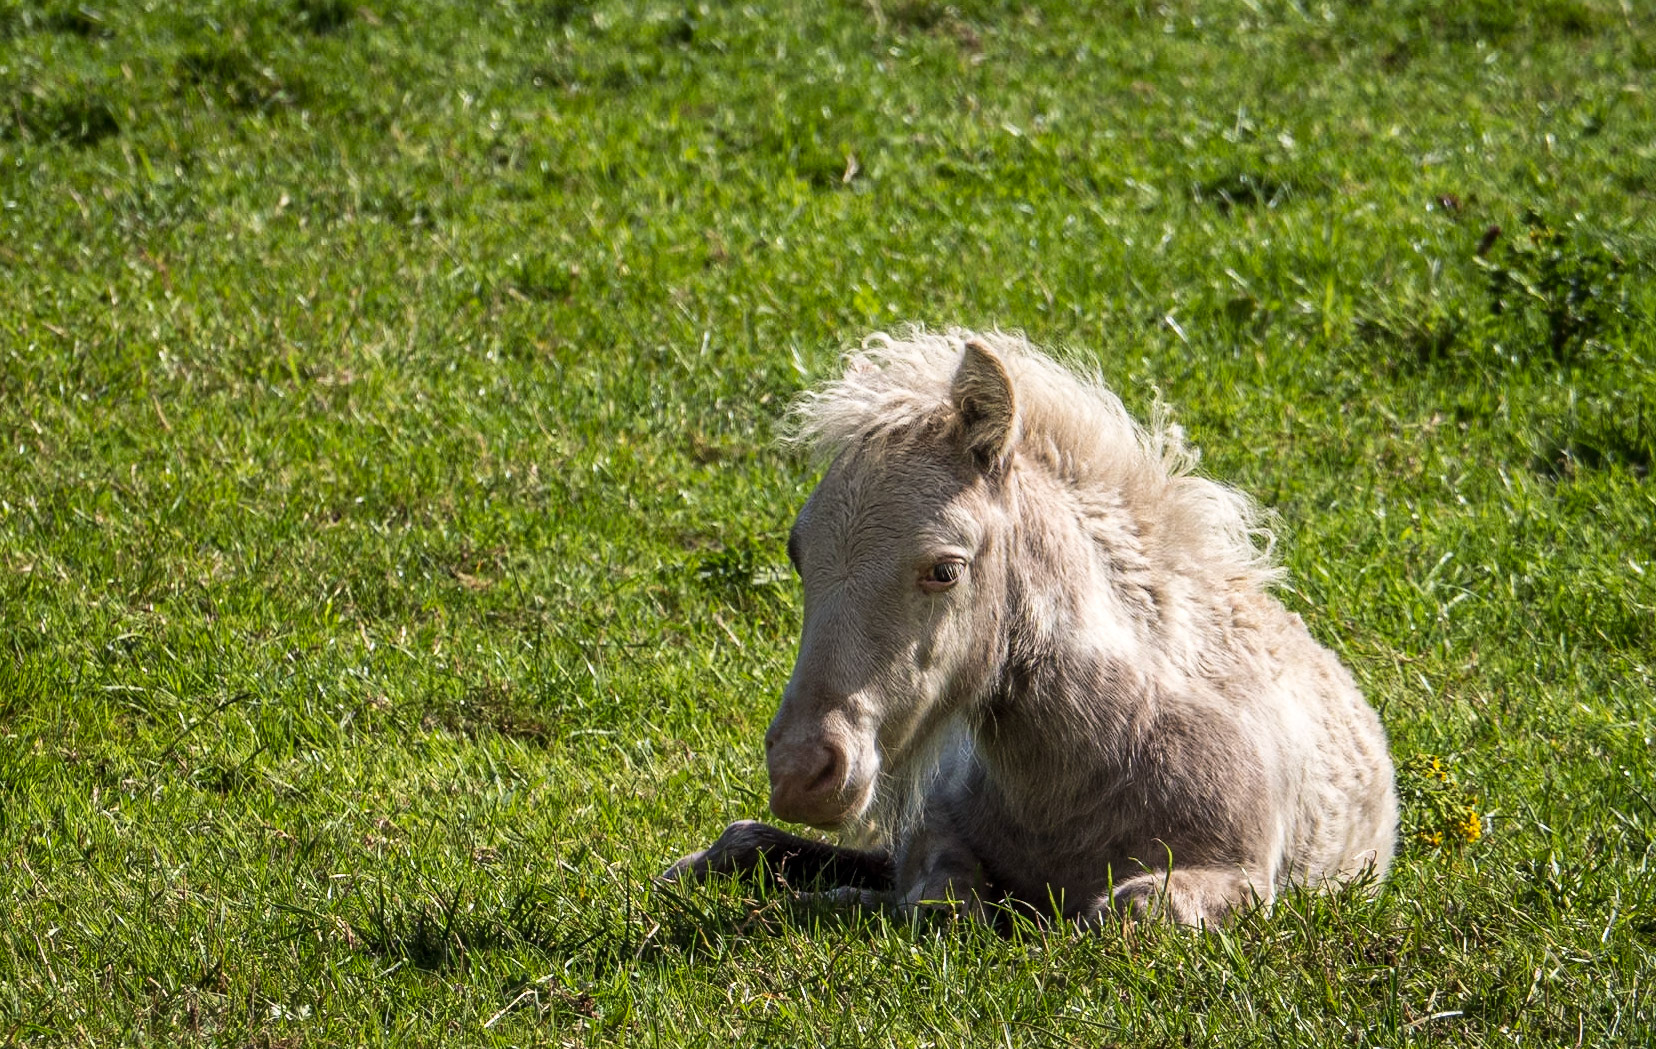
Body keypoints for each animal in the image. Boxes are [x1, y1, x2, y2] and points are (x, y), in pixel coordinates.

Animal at [663, 330, 1396, 926]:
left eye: (945, 569)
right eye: (799, 553)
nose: (801, 771)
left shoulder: (1240, 877)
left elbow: (1117, 915)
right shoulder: (931, 833)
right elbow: (939, 898)